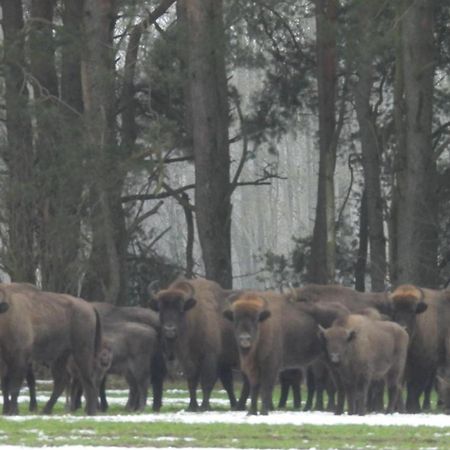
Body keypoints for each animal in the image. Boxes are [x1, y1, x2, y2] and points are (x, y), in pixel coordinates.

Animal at [0, 284, 101, 414]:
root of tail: (90, 307)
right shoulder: (5, 360)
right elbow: (6, 385)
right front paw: (6, 411)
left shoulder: (20, 358)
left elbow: (14, 385)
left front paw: (12, 411)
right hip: (60, 357)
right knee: (62, 380)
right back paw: (46, 410)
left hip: (82, 351)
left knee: (88, 377)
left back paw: (90, 411)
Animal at [149, 278, 243, 412]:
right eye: (160, 310)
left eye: (181, 309)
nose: (169, 330)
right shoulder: (187, 360)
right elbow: (192, 381)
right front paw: (192, 407)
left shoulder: (210, 357)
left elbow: (207, 382)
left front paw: (204, 406)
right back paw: (236, 405)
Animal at [386, 284, 450, 412]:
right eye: (394, 311)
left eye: (412, 311)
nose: (402, 328)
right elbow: (401, 383)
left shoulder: (424, 363)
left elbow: (416, 386)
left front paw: (413, 408)